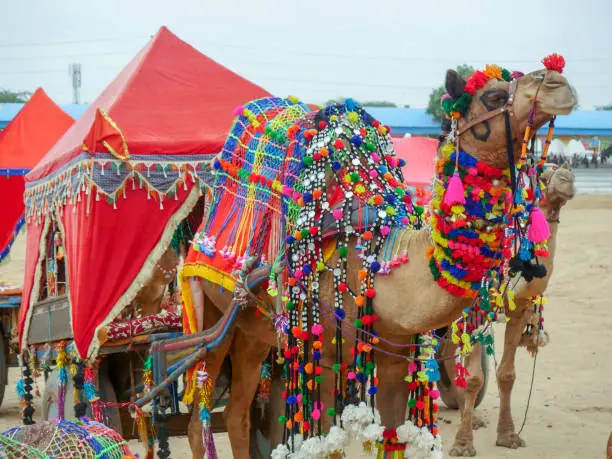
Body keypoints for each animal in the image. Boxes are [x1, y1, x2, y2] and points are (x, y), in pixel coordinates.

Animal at [440, 162, 572, 456]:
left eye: (567, 173)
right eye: (543, 174)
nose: (567, 179)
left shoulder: (518, 312)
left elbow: (507, 374)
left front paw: (508, 435)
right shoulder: (476, 313)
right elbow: (476, 379)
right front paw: (463, 445)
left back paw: (471, 416)